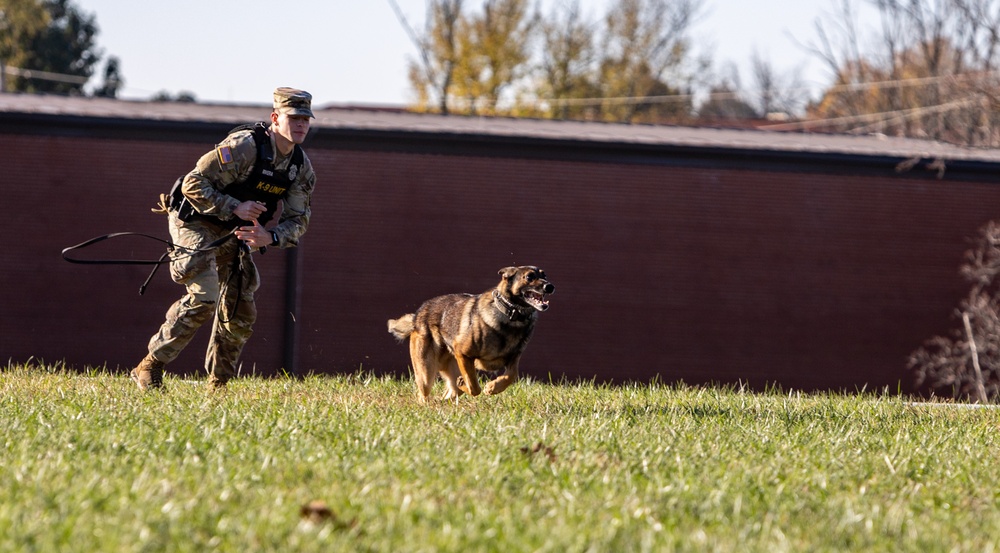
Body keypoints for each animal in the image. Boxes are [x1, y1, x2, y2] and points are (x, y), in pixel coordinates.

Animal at [386, 266, 556, 402]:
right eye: (529, 277)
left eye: (545, 275)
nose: (550, 286)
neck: (510, 316)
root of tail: (417, 316)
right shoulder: (464, 353)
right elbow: (474, 387)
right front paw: (473, 385)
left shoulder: (513, 359)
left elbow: (511, 375)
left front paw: (494, 387)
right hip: (426, 372)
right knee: (425, 394)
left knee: (450, 393)